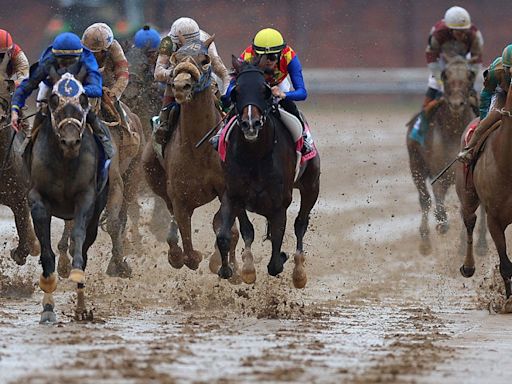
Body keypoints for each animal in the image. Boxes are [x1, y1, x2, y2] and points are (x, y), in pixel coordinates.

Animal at [57, 93, 145, 280]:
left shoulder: (115, 183)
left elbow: (113, 223)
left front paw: (120, 265)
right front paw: (64, 263)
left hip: (134, 174)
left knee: (123, 215)